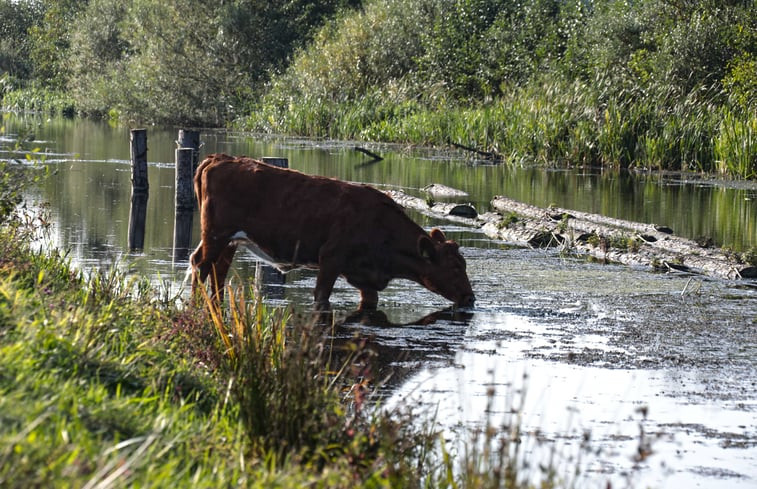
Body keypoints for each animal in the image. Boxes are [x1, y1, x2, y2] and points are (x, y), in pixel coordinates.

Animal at [189, 152, 472, 308]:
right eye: (455, 267)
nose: (471, 298)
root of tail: (222, 158)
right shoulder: (330, 259)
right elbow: (321, 297)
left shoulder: (364, 278)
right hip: (216, 234)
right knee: (201, 265)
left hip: (230, 241)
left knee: (217, 270)